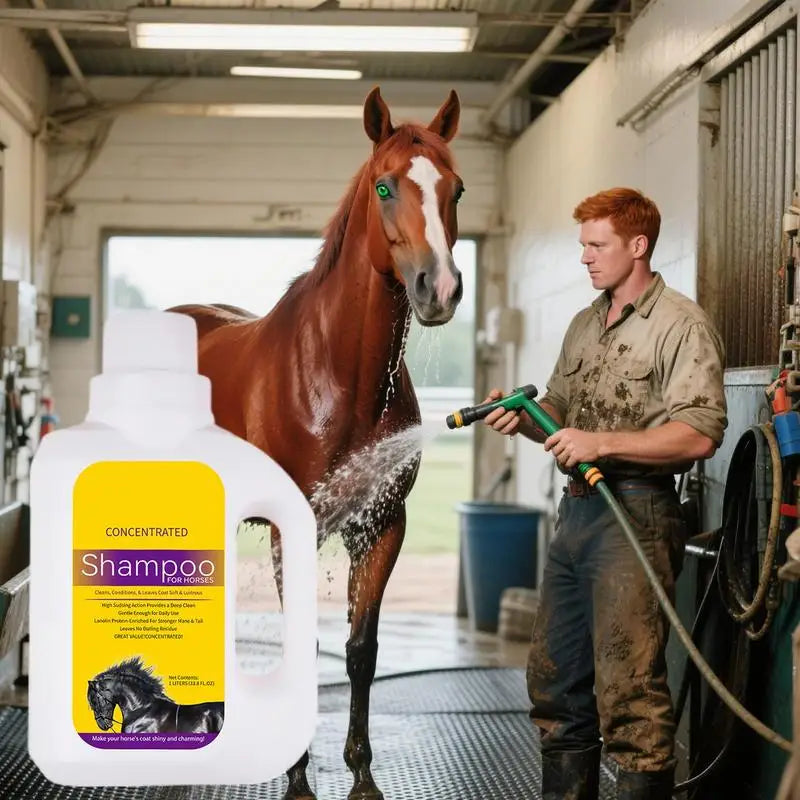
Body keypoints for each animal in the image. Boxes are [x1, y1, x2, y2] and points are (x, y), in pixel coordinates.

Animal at [170, 86, 463, 800]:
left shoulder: (382, 526)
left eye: (458, 189)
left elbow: (361, 651)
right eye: (384, 185)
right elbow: (304, 646)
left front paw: (361, 773)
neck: (339, 376)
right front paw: (298, 775)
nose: (439, 289)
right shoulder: (291, 530)